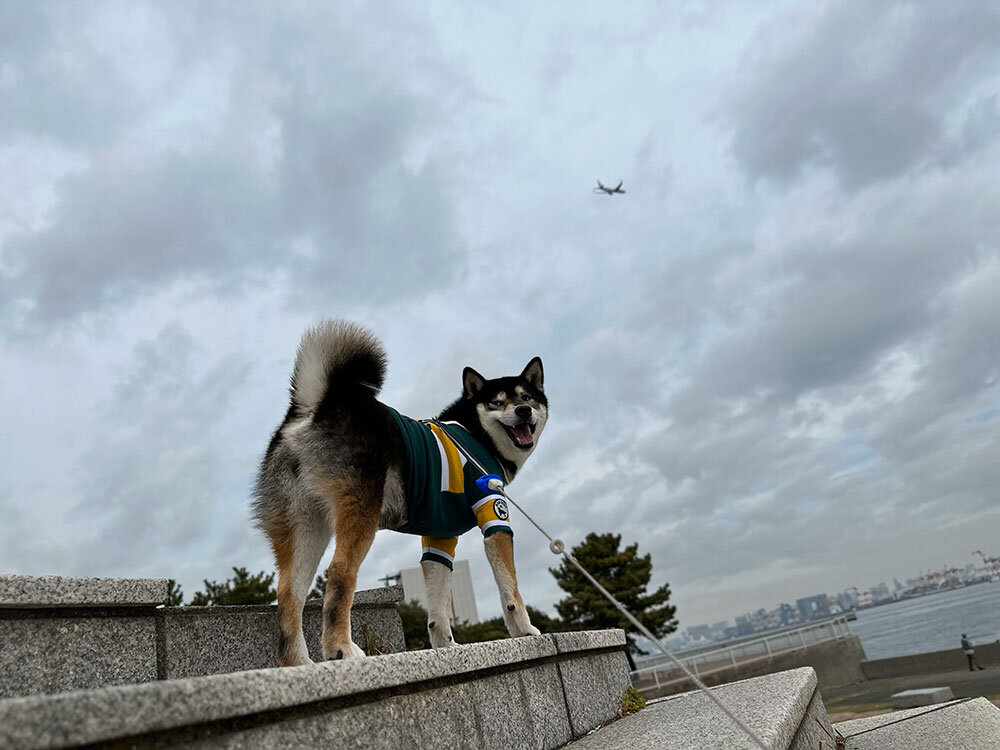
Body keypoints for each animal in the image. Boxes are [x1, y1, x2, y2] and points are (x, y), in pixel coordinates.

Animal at [250, 320, 548, 668]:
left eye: (527, 397)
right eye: (497, 403)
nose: (524, 410)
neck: (477, 435)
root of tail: (316, 406)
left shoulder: (440, 538)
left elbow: (438, 606)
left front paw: (446, 646)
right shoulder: (494, 513)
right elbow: (511, 589)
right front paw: (525, 629)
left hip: (305, 527)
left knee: (289, 593)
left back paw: (298, 663)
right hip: (358, 512)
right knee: (339, 573)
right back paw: (341, 648)